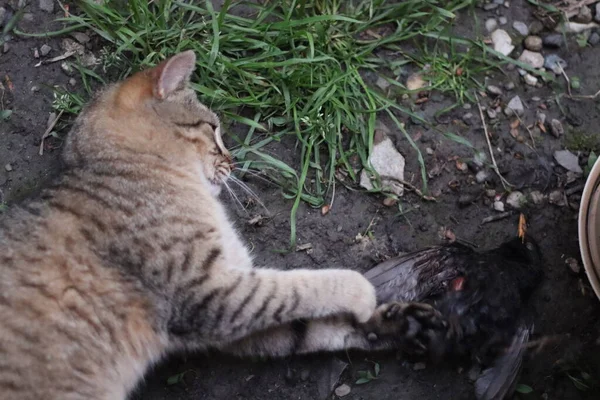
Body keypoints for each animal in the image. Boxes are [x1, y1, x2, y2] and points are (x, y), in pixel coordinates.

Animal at [0, 51, 440, 398]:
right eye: (213, 129)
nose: (233, 163)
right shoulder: (211, 291)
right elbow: (301, 286)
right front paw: (363, 292)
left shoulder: (224, 318)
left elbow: (310, 326)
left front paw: (397, 324)